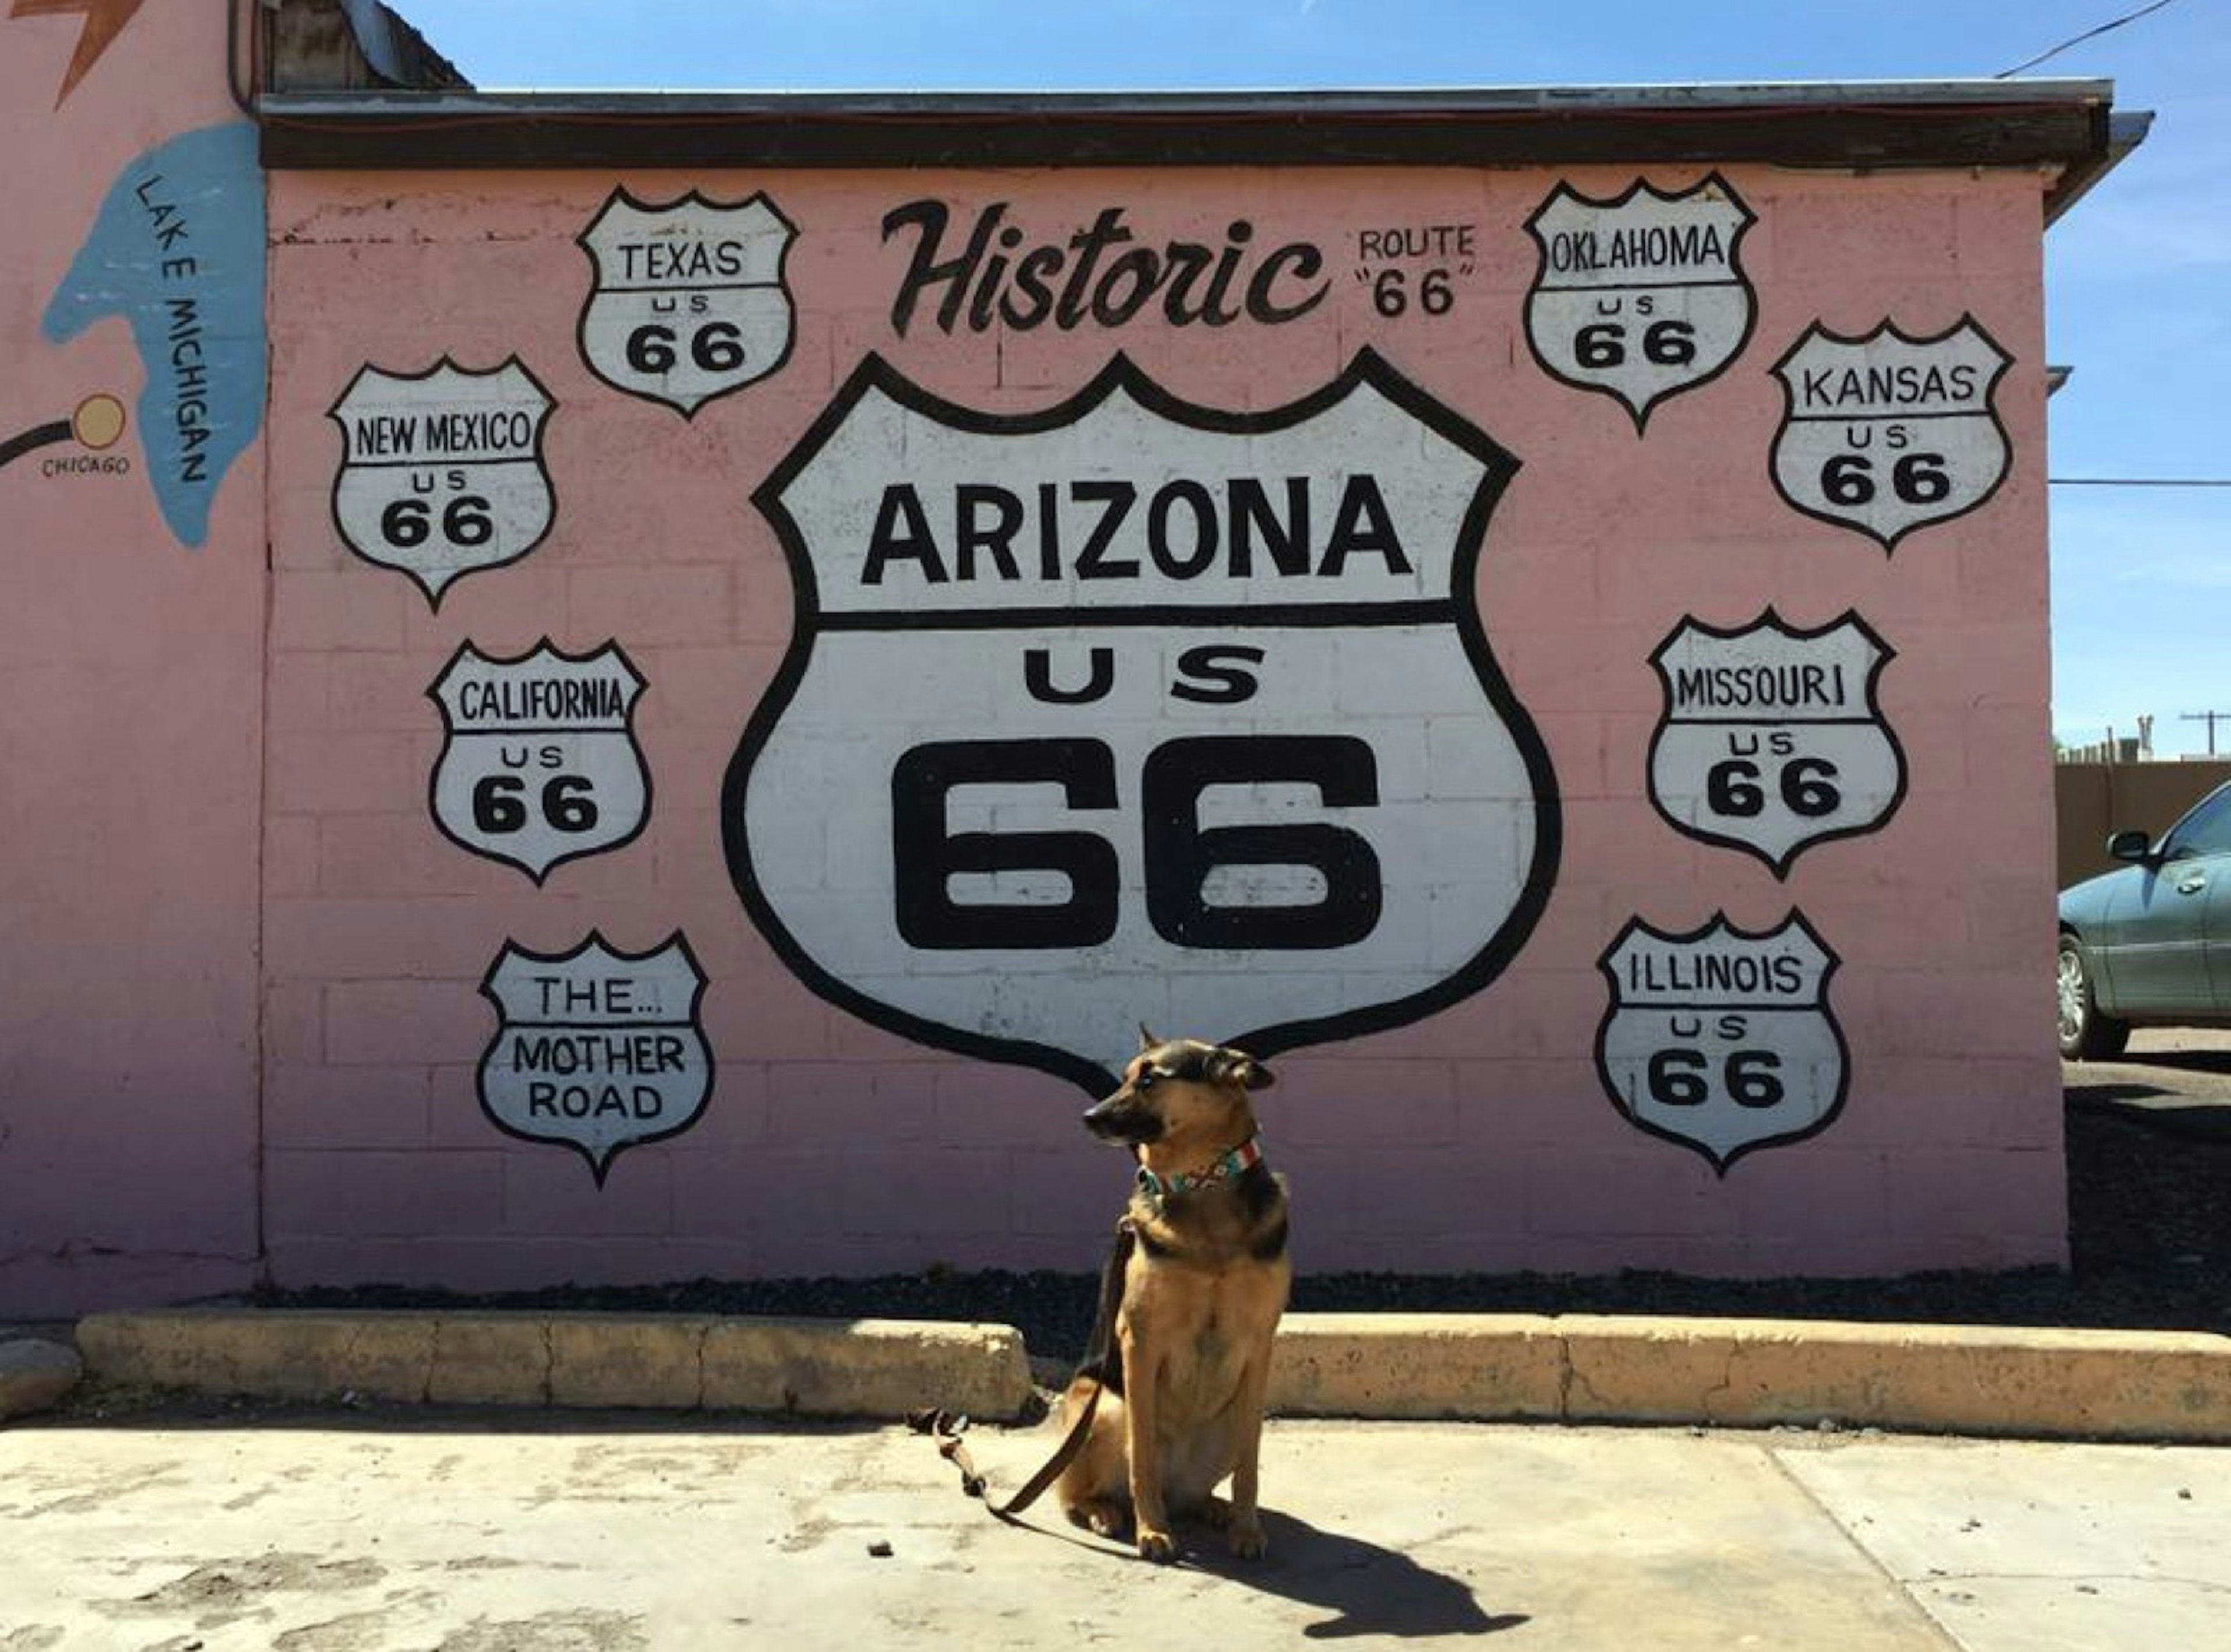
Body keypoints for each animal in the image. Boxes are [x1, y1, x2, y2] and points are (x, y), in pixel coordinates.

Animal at [1057, 1030, 1294, 1560]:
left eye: (1150, 1079)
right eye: (1126, 1076)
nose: (1087, 1117)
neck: (1203, 1182)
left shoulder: (1260, 1344)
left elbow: (1250, 1466)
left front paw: (1247, 1529)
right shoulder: (1140, 1339)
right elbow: (1142, 1457)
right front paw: (1152, 1532)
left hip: (1228, 1422)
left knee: (1205, 1486)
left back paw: (1213, 1508)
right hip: (1104, 1407)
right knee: (1080, 1495)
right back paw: (1108, 1514)